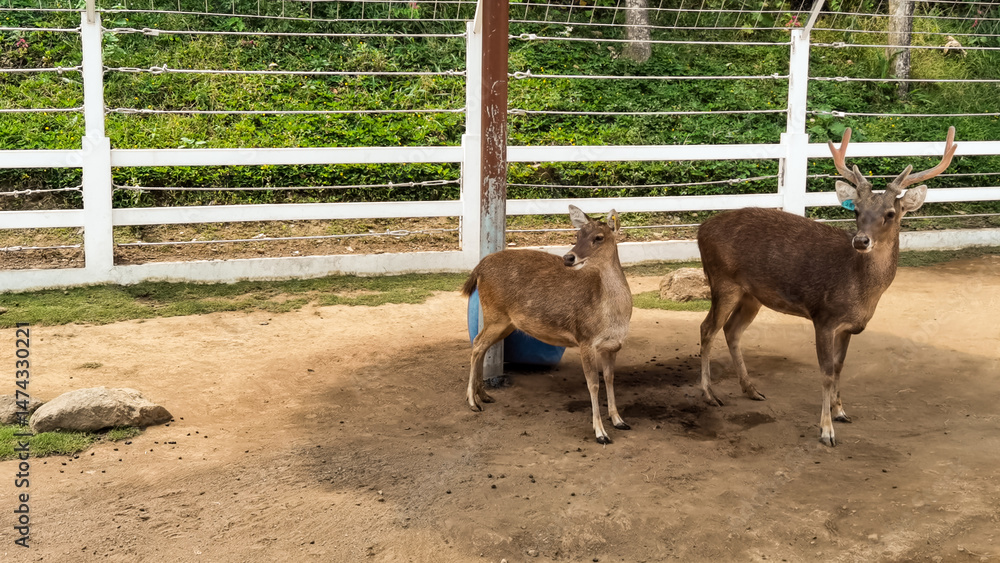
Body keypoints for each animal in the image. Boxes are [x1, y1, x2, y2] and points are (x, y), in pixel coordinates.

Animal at [461, 205, 633, 444]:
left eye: (599, 237)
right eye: (577, 235)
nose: (569, 257)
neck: (613, 317)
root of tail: (479, 267)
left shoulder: (613, 345)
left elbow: (609, 378)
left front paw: (619, 420)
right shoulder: (585, 339)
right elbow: (593, 384)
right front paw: (600, 433)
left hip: (506, 322)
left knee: (482, 346)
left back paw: (484, 395)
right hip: (495, 314)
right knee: (477, 344)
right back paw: (472, 401)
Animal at [697, 126, 958, 447]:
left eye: (891, 213)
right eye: (856, 210)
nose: (861, 240)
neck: (861, 292)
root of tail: (700, 231)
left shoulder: (848, 326)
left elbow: (839, 367)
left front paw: (841, 411)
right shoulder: (823, 316)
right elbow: (825, 371)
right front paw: (826, 431)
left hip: (751, 294)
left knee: (732, 330)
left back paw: (751, 389)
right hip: (722, 279)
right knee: (708, 328)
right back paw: (709, 394)